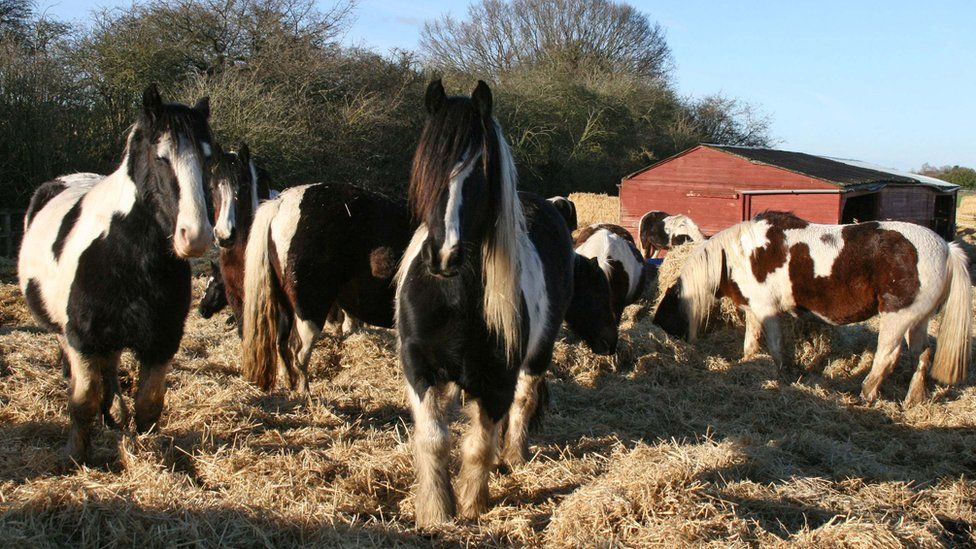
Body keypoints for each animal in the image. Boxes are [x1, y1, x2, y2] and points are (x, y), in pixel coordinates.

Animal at [16, 85, 215, 460]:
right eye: (161, 157)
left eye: (209, 160)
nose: (195, 237)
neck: (129, 254)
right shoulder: (82, 339)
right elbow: (83, 401)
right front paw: (75, 456)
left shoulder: (162, 340)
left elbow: (149, 405)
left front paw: (149, 451)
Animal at [244, 182, 416, 392]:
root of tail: (281, 203)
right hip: (310, 310)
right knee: (298, 352)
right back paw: (304, 394)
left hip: (285, 306)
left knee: (281, 344)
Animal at [398, 79, 604, 524]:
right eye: (427, 165)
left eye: (481, 170)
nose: (444, 255)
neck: (452, 298)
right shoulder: (419, 367)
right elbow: (434, 438)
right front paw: (436, 510)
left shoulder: (496, 378)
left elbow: (478, 443)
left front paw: (473, 504)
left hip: (536, 354)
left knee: (523, 400)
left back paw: (512, 456)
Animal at [652, 210, 972, 406]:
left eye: (667, 308)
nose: (656, 327)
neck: (738, 254)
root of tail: (946, 248)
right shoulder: (755, 311)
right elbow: (751, 345)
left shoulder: (767, 310)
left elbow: (776, 347)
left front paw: (783, 375)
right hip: (918, 320)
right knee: (923, 354)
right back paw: (913, 398)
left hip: (897, 318)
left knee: (886, 357)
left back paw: (865, 394)